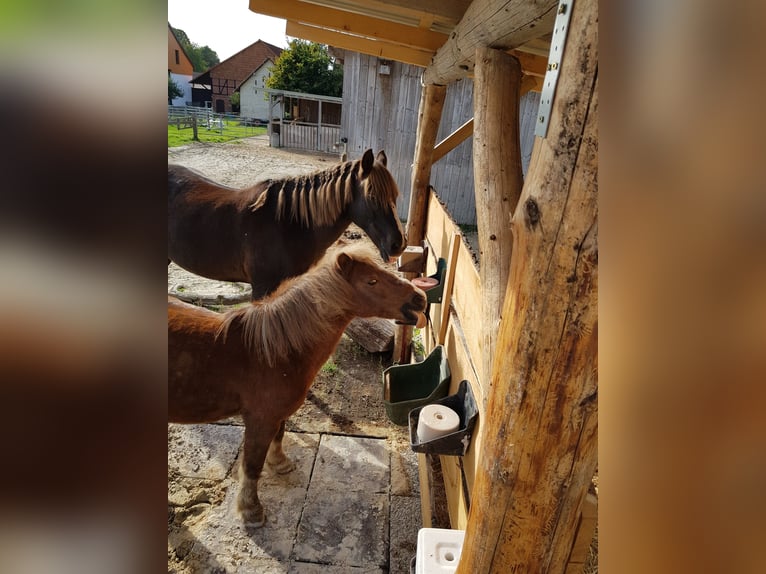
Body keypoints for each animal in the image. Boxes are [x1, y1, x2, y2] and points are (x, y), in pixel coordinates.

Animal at [168, 245, 428, 528]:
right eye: (371, 281)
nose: (420, 298)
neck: (270, 352)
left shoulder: (276, 416)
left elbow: (279, 437)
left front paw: (280, 464)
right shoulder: (260, 420)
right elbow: (252, 465)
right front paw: (251, 511)